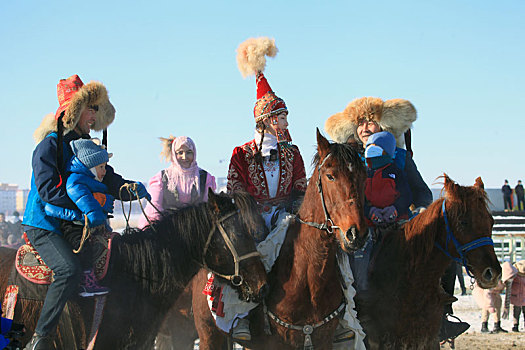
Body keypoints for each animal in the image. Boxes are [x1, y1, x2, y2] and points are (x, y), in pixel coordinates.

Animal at [164, 131, 368, 350]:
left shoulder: (323, 340)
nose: (356, 233)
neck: (307, 277)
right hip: (206, 333)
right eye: (330, 176)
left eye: (362, 176)